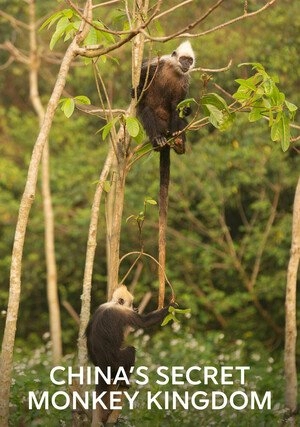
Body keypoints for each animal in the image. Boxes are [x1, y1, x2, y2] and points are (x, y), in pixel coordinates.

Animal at [85, 286, 172, 426]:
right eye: (130, 304)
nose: (134, 307)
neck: (113, 303)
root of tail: (102, 365)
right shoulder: (124, 313)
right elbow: (144, 322)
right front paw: (171, 307)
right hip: (117, 361)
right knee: (130, 351)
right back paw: (123, 383)